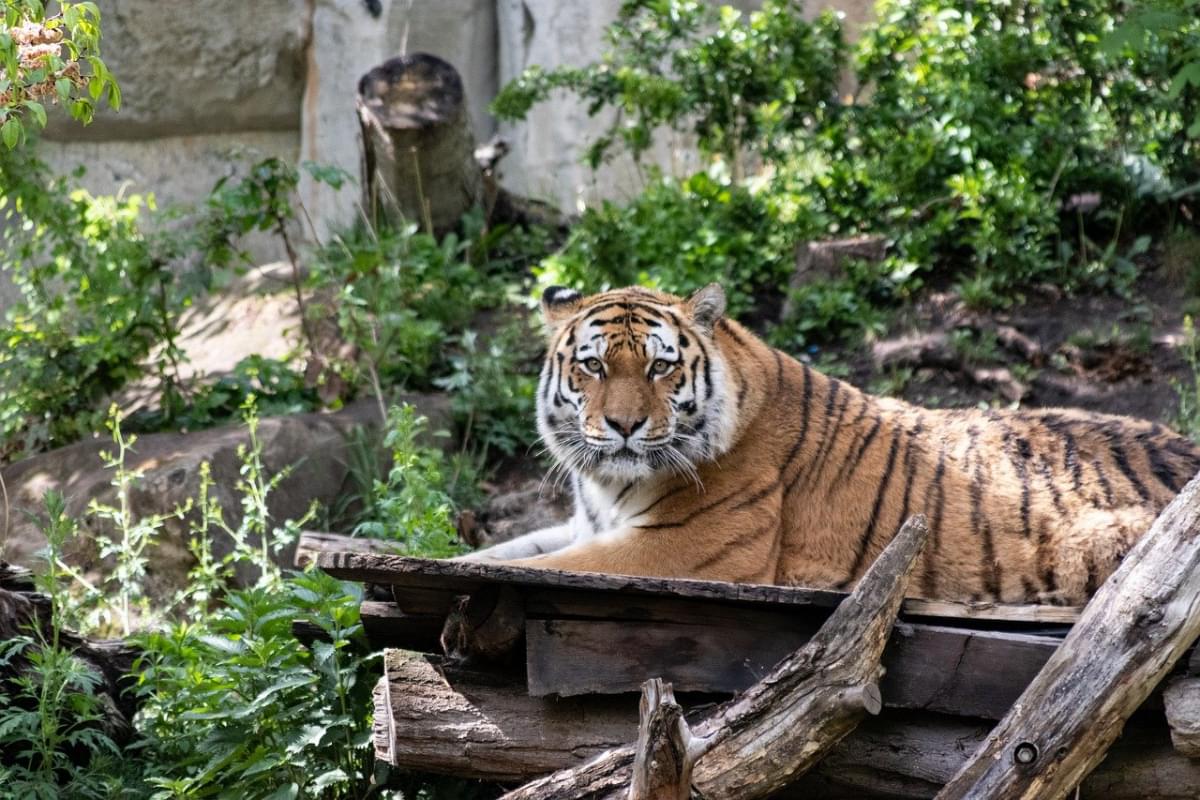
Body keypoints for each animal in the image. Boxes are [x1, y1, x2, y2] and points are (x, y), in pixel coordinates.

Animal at [456, 284, 1200, 604]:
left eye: (661, 368)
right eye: (593, 366)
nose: (623, 427)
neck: (610, 484)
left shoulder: (685, 549)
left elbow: (542, 567)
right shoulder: (586, 522)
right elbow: (496, 554)